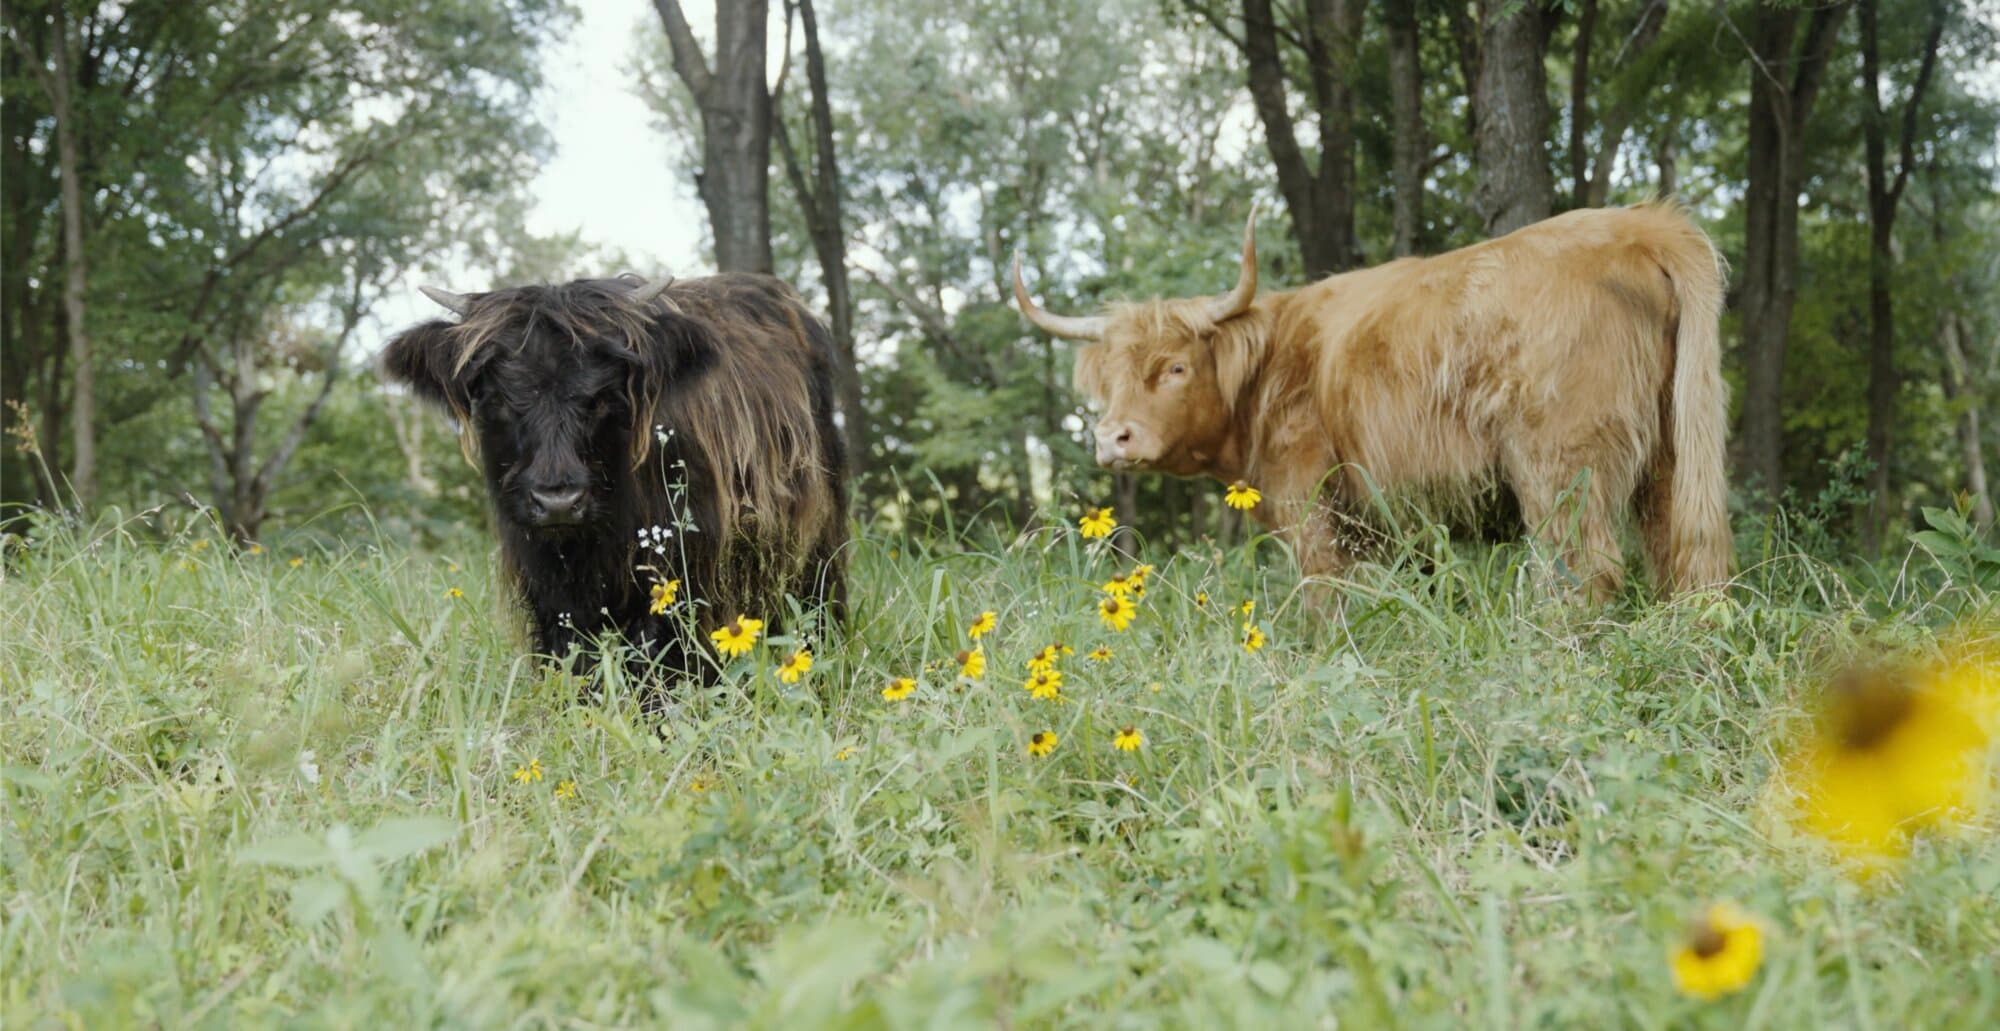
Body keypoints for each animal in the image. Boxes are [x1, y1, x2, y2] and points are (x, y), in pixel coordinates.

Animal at [382, 273, 848, 692]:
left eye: (602, 396)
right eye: (498, 397)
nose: (558, 501)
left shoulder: (679, 567)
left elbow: (659, 654)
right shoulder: (541, 577)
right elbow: (570, 653)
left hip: (819, 537)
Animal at [1014, 202, 1732, 600]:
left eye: (1176, 367)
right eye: (1107, 380)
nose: (1113, 438)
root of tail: (1640, 226)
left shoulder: (1309, 508)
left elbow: (1323, 600)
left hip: (1559, 462)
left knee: (1582, 571)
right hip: (1668, 456)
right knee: (1685, 555)